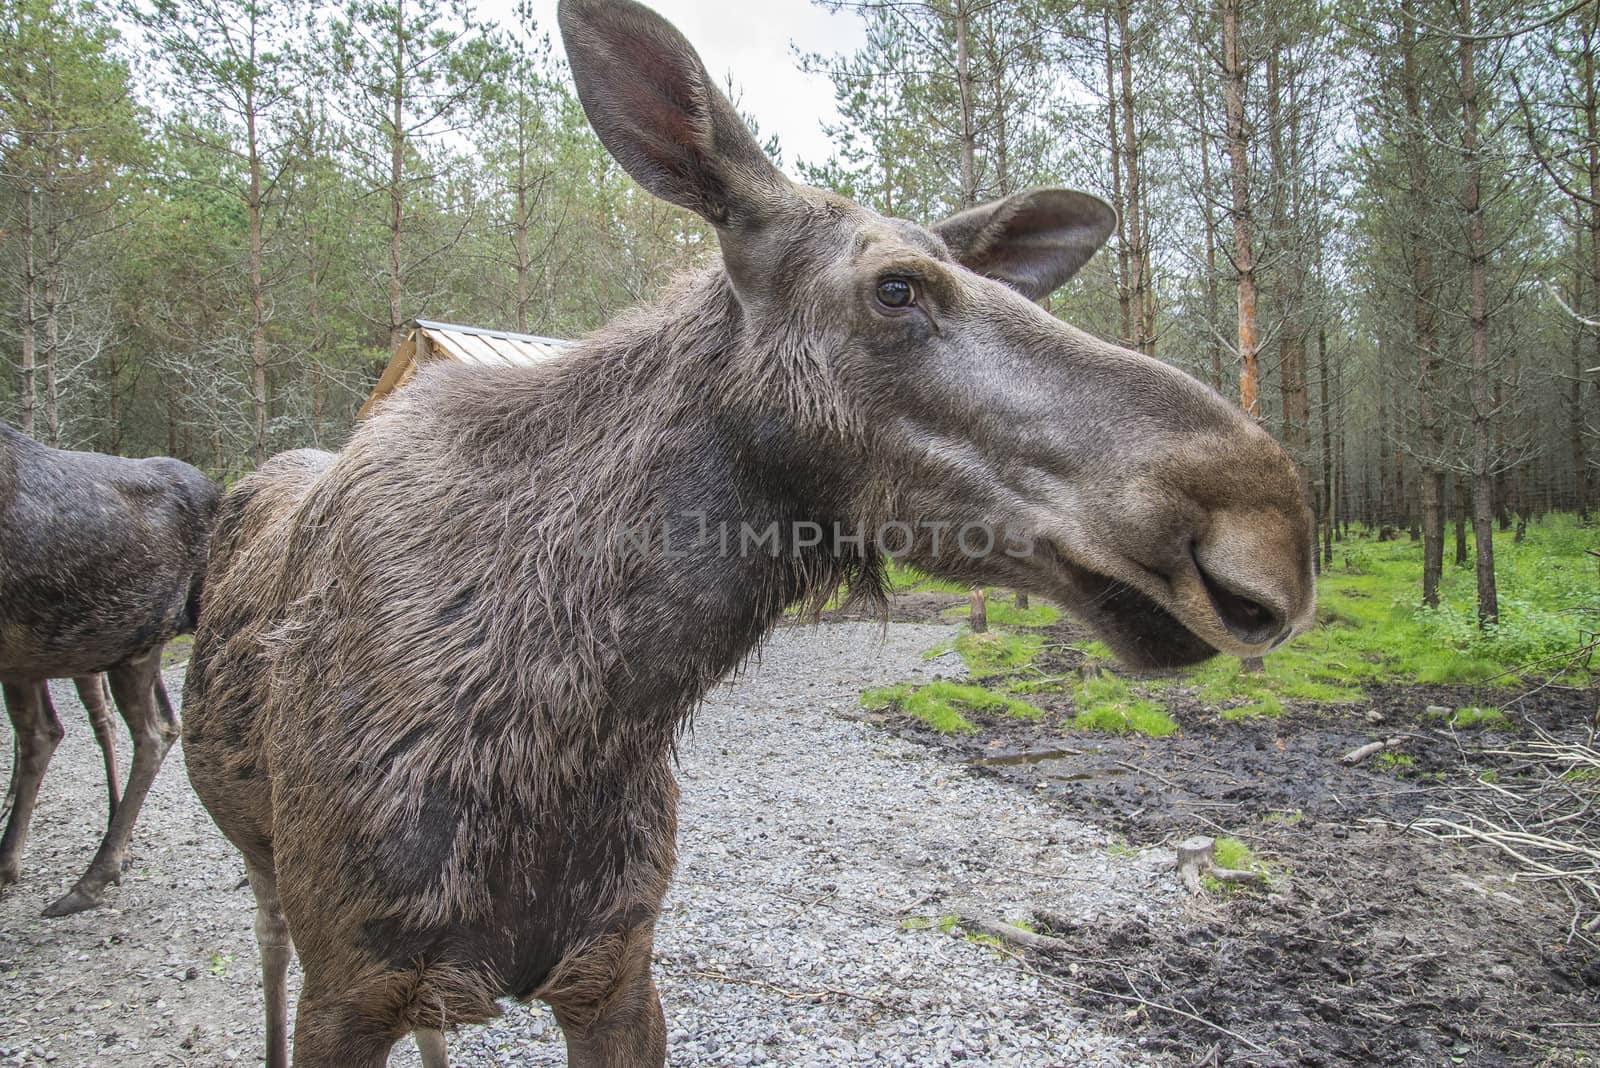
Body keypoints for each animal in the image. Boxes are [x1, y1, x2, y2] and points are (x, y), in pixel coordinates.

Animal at [181, 0, 1318, 1061]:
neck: (572, 720)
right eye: (896, 288)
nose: (1270, 529)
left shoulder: (615, 968)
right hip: (267, 877)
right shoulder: (354, 982)